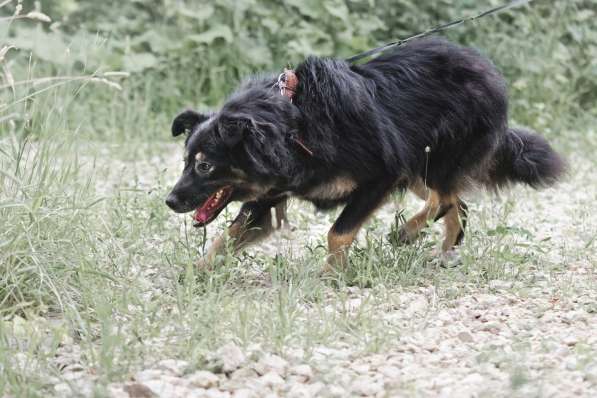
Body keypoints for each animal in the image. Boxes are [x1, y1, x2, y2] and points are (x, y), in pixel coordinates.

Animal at [164, 37, 564, 272]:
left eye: (205, 166)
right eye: (185, 163)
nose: (169, 201)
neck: (294, 125)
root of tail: (488, 71)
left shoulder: (380, 176)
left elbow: (338, 233)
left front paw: (332, 275)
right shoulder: (272, 190)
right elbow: (228, 236)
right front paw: (194, 275)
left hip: (431, 158)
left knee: (444, 198)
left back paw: (407, 233)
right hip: (419, 166)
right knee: (456, 203)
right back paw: (444, 251)